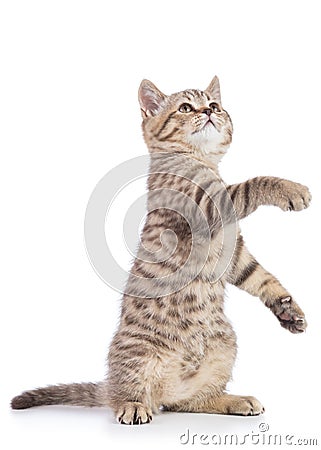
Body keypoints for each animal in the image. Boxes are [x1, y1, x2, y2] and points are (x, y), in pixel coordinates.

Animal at [11, 77, 308, 426]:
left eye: (215, 105)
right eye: (185, 108)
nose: (209, 111)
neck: (200, 160)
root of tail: (168, 389)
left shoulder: (233, 255)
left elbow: (258, 275)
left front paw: (287, 307)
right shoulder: (205, 207)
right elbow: (253, 184)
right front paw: (291, 189)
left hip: (224, 344)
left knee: (191, 402)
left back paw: (230, 400)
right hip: (139, 351)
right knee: (128, 393)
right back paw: (133, 405)